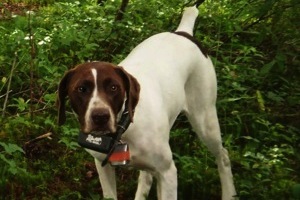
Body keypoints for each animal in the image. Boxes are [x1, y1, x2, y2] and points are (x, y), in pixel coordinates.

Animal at [56, 6, 237, 200]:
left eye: (113, 87)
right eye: (81, 89)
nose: (100, 116)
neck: (123, 130)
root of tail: (184, 32)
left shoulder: (167, 172)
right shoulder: (102, 166)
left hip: (205, 120)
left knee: (223, 156)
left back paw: (229, 193)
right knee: (147, 176)